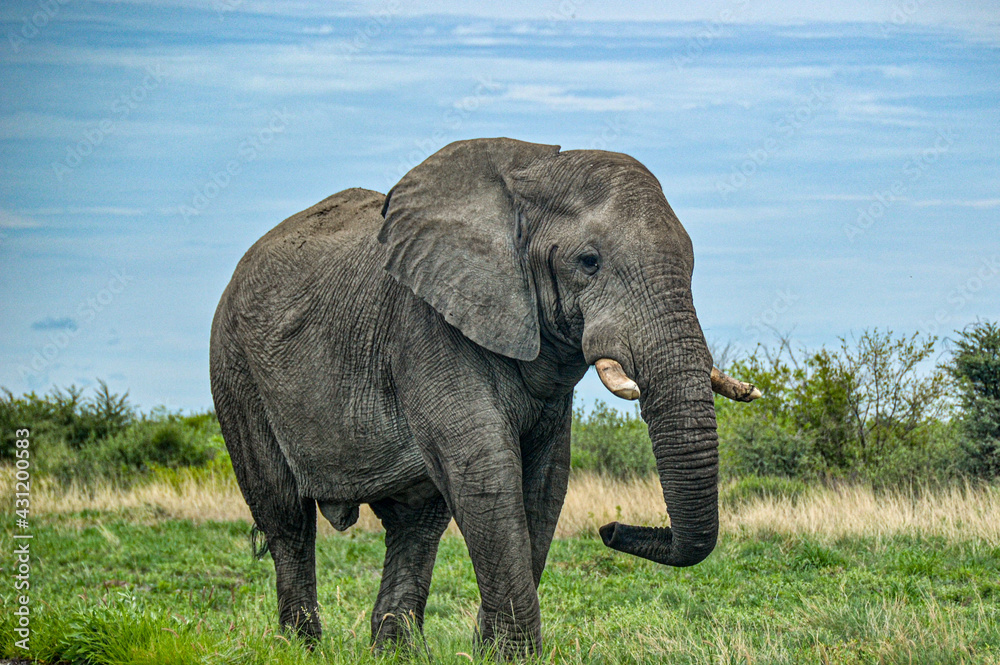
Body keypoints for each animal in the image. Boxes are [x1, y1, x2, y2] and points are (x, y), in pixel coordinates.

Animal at [209, 137, 760, 656]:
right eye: (589, 262)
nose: (610, 529)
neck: (527, 177)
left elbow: (546, 481)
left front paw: (495, 653)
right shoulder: (426, 326)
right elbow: (485, 468)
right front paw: (513, 654)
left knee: (416, 524)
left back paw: (396, 651)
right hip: (236, 371)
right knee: (287, 518)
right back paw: (301, 646)